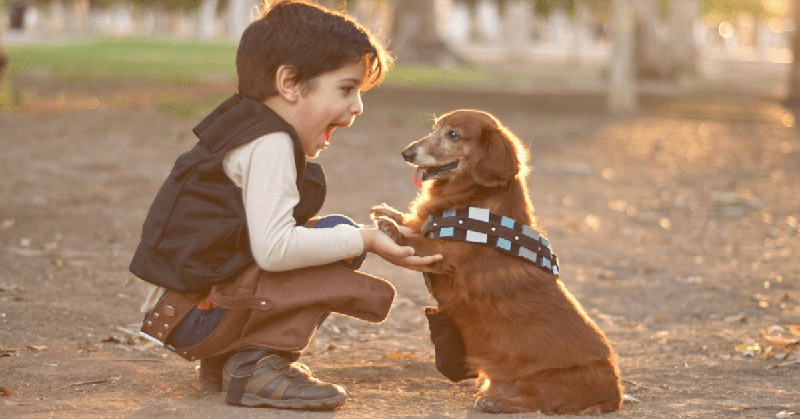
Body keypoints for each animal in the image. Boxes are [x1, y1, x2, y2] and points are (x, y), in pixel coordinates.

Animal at [370, 110, 624, 416]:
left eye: (453, 135)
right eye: (434, 128)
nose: (406, 153)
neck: (473, 202)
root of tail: (615, 394)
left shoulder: (444, 256)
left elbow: (417, 241)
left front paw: (391, 228)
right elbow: (416, 223)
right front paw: (390, 212)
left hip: (545, 379)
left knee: (536, 402)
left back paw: (496, 402)